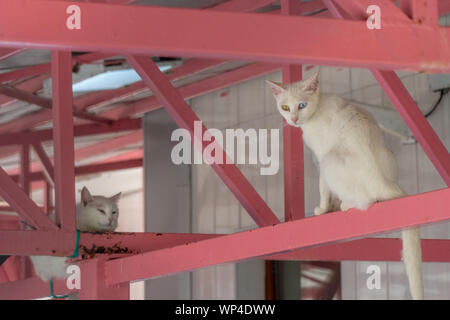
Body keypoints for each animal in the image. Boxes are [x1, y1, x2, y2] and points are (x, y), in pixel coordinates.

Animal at [268, 72, 424, 300]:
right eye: (285, 107)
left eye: (302, 105)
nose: (294, 119)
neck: (318, 106)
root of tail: (387, 183)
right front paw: (331, 207)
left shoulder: (321, 155)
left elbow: (323, 188)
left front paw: (324, 208)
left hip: (330, 160)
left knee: (365, 201)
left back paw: (346, 205)